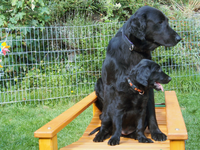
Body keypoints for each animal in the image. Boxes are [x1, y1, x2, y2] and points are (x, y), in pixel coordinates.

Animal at [92, 5, 181, 145]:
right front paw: (103, 132)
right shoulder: (110, 86)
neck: (134, 50)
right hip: (99, 83)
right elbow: (108, 112)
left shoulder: (148, 91)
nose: (179, 38)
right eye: (160, 22)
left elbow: (151, 113)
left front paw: (156, 132)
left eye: (166, 20)